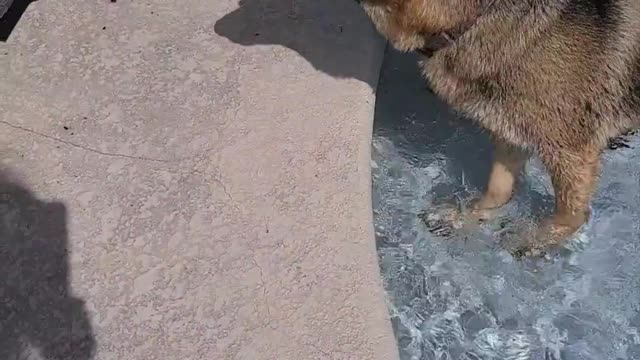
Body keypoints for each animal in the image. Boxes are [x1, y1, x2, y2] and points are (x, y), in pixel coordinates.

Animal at [358, 0, 640, 256]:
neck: (476, 17)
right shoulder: (511, 131)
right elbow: (498, 189)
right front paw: (466, 217)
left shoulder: (570, 152)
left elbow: (570, 215)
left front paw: (533, 241)